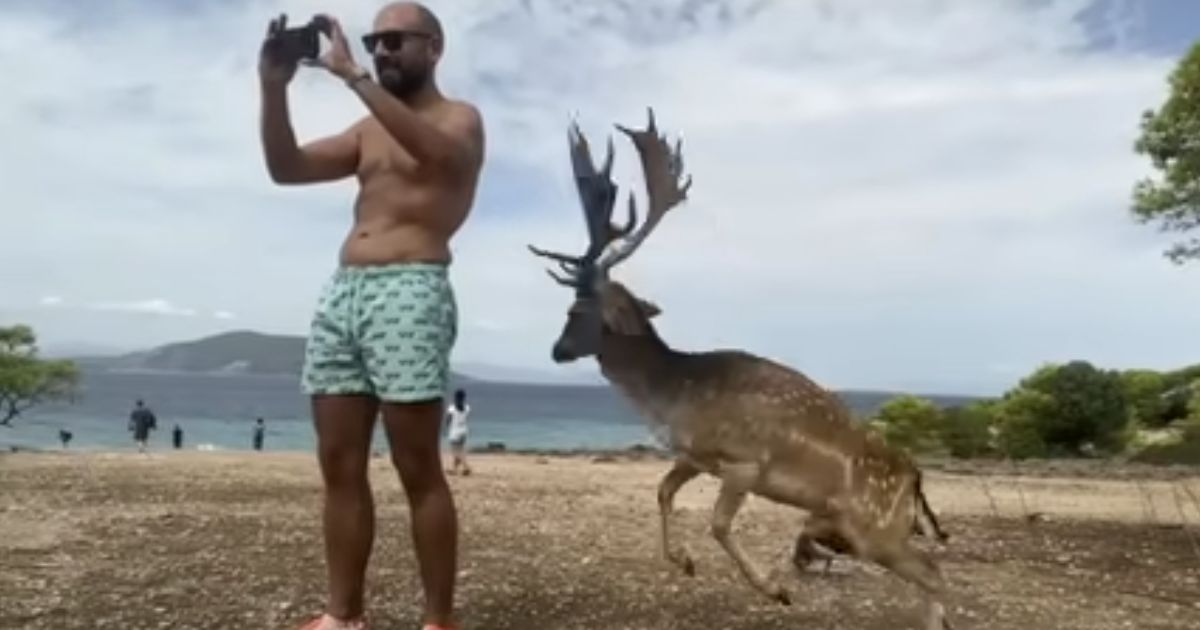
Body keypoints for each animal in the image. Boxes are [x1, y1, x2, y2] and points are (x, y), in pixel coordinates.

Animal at [527, 108, 954, 630]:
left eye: (575, 309)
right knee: (929, 570)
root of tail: (915, 479)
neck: (675, 396)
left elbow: (717, 524)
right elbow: (663, 491)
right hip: (862, 531)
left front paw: (776, 590)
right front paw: (683, 561)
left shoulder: (745, 460)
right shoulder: (695, 455)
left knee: (934, 573)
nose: (557, 350)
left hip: (874, 529)